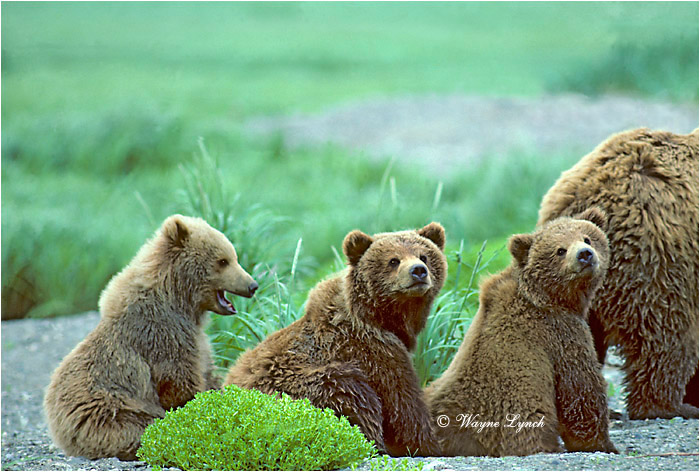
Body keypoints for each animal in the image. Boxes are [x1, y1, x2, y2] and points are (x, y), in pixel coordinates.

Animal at [43, 215, 258, 460]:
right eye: (223, 261)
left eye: (234, 256)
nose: (252, 285)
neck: (180, 300)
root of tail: (58, 430)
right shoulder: (161, 331)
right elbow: (178, 380)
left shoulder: (197, 338)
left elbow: (207, 370)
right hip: (111, 413)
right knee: (140, 427)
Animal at [225, 223, 447, 457]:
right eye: (393, 260)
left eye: (424, 255)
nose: (418, 271)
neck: (381, 318)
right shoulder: (371, 349)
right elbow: (402, 404)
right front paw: (429, 443)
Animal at [425, 208, 618, 457]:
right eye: (560, 250)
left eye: (587, 238)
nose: (585, 254)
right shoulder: (560, 331)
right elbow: (580, 390)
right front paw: (604, 444)